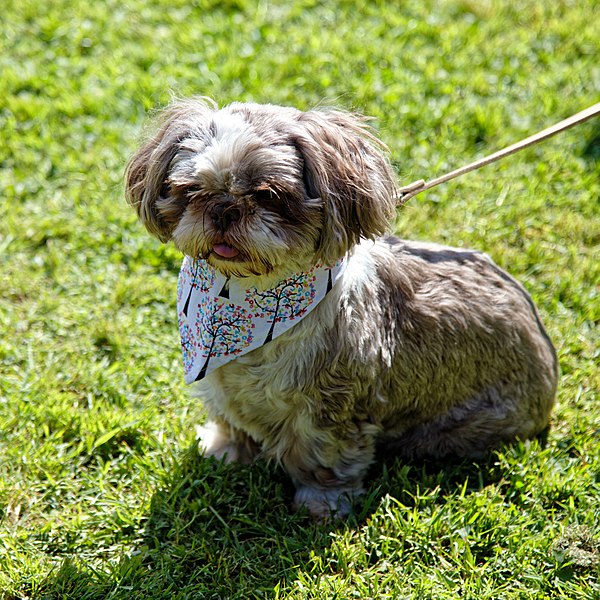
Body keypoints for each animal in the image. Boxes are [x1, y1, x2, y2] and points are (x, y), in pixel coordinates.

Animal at [125, 96, 556, 516]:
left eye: (268, 195)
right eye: (192, 189)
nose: (224, 208)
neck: (247, 297)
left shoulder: (328, 408)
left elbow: (324, 458)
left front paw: (322, 504)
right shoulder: (220, 382)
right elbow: (230, 422)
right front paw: (224, 450)